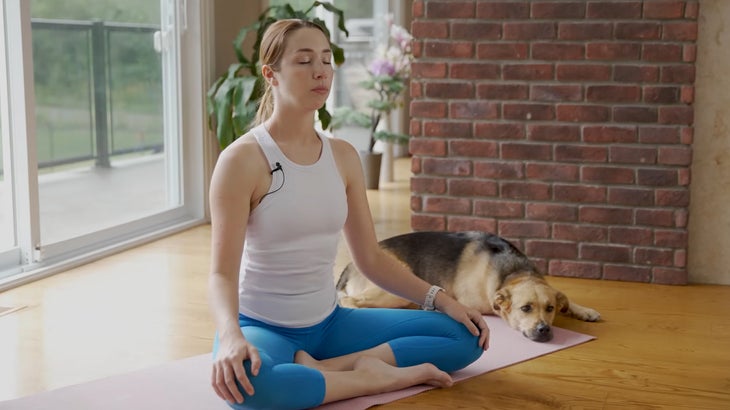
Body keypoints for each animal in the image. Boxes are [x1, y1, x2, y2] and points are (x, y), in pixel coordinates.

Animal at [336, 231, 596, 342]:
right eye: (526, 308)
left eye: (550, 308)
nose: (544, 329)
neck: (513, 272)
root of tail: (349, 266)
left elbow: (567, 297)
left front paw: (584, 310)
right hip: (397, 282)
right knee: (348, 301)